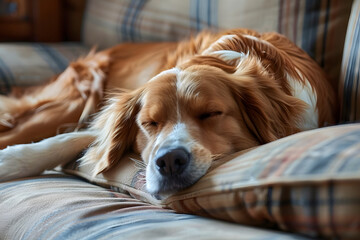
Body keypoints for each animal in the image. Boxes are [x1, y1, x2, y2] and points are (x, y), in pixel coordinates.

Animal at [0, 28, 336, 195]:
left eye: (211, 114)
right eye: (149, 123)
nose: (170, 161)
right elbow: (72, 139)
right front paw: (12, 162)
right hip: (71, 102)